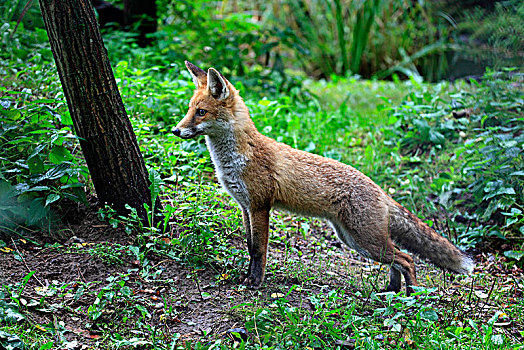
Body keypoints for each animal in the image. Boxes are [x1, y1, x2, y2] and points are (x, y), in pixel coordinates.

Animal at [173, 61, 474, 294]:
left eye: (201, 112)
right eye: (188, 110)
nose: (176, 131)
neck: (237, 158)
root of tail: (380, 190)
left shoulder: (260, 206)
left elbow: (259, 250)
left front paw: (255, 283)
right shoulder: (245, 206)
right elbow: (249, 246)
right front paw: (247, 277)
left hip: (365, 240)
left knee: (407, 258)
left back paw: (411, 298)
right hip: (353, 240)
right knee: (398, 261)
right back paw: (390, 291)